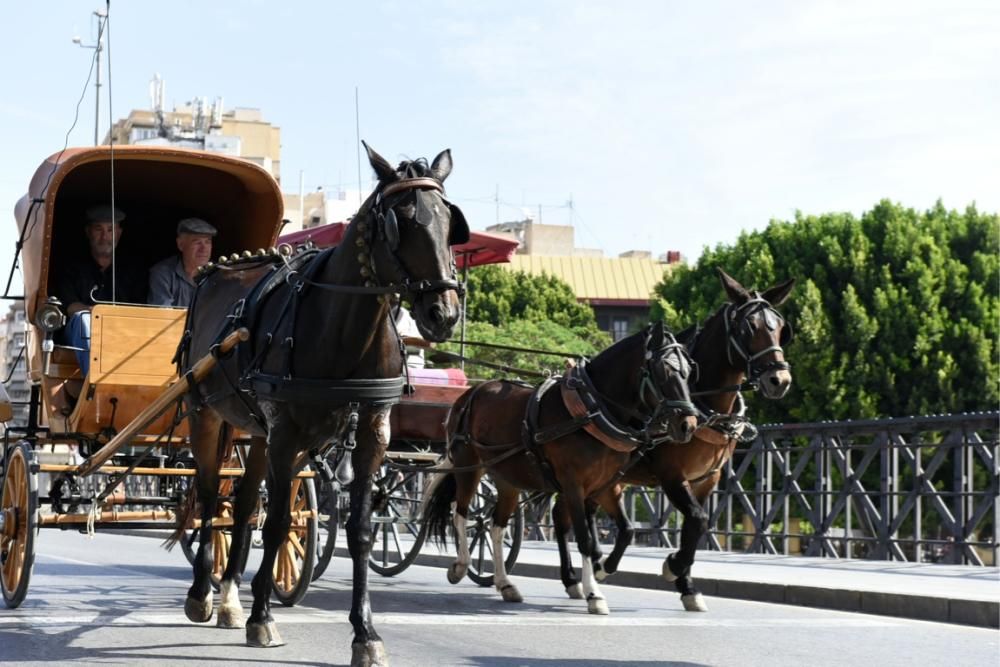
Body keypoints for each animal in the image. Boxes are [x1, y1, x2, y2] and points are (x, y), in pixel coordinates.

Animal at [173, 144, 468, 664]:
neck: (344, 329)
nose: (443, 313)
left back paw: (229, 597)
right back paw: (203, 593)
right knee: (209, 497)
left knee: (242, 504)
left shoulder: (371, 432)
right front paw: (263, 618)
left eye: (450, 222)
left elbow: (358, 529)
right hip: (205, 412)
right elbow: (277, 522)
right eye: (401, 221)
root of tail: (217, 270)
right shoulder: (287, 432)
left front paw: (365, 633)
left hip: (257, 431)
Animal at [426, 324, 700, 616]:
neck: (592, 411)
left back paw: (505, 583)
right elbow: (585, 538)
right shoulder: (573, 485)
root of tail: (472, 392)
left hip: (507, 479)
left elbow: (626, 531)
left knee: (495, 525)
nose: (688, 425)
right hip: (468, 465)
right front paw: (594, 593)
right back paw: (460, 566)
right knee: (461, 513)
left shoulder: (605, 486)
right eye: (663, 370)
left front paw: (602, 571)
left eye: (689, 371)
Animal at [552, 268, 792, 612]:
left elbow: (696, 525)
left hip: (605, 480)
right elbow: (697, 519)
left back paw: (589, 571)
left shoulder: (706, 479)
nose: (779, 379)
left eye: (781, 328)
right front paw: (673, 567)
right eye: (749, 327)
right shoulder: (671, 476)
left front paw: (687, 584)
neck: (701, 401)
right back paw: (576, 578)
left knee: (585, 515)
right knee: (564, 517)